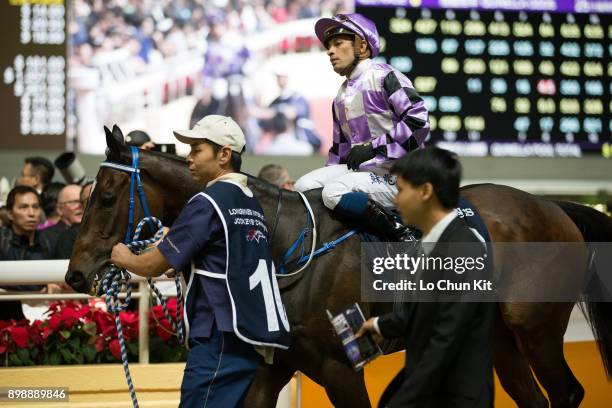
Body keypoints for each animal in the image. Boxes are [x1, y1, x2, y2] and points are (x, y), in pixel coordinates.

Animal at [64, 126, 608, 404]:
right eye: (86, 196)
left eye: (107, 196)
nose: (75, 273)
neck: (283, 246)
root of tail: (554, 207)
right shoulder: (276, 365)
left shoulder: (341, 367)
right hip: (497, 338)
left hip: (535, 329)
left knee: (566, 394)